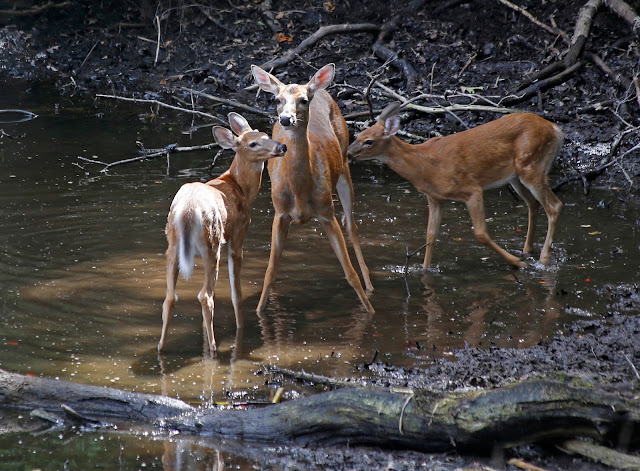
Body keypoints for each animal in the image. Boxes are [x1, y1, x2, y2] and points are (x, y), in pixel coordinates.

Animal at [158, 112, 287, 353]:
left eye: (266, 135)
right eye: (252, 144)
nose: (281, 146)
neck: (240, 188)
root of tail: (188, 211)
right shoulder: (237, 238)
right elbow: (236, 293)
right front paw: (240, 328)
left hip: (173, 245)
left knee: (171, 297)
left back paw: (161, 347)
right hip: (213, 243)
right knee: (205, 296)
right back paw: (215, 348)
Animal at [251, 63, 375, 313]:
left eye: (304, 100)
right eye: (277, 99)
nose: (285, 119)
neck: (299, 190)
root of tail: (321, 89)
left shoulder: (326, 211)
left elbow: (350, 273)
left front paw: (371, 312)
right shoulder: (280, 213)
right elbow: (270, 273)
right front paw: (258, 312)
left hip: (344, 163)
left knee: (352, 225)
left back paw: (370, 286)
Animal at [347, 102, 563, 269]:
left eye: (369, 141)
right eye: (357, 135)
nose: (348, 153)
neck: (425, 167)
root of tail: (555, 128)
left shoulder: (471, 189)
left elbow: (480, 233)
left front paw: (517, 263)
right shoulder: (435, 198)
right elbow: (430, 235)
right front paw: (425, 269)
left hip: (532, 165)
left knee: (554, 206)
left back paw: (543, 259)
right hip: (515, 176)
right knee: (533, 204)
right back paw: (527, 250)